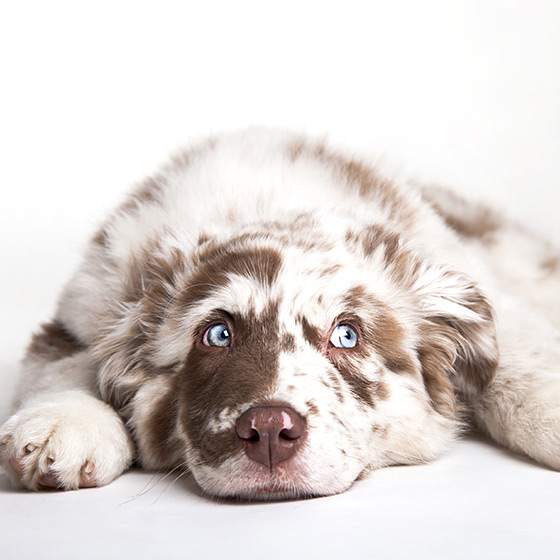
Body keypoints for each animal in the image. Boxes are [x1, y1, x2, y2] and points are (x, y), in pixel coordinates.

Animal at [1, 131, 560, 498]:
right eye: (217, 334)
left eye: (347, 335)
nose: (269, 430)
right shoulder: (80, 311)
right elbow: (66, 364)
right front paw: (64, 423)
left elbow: (518, 359)